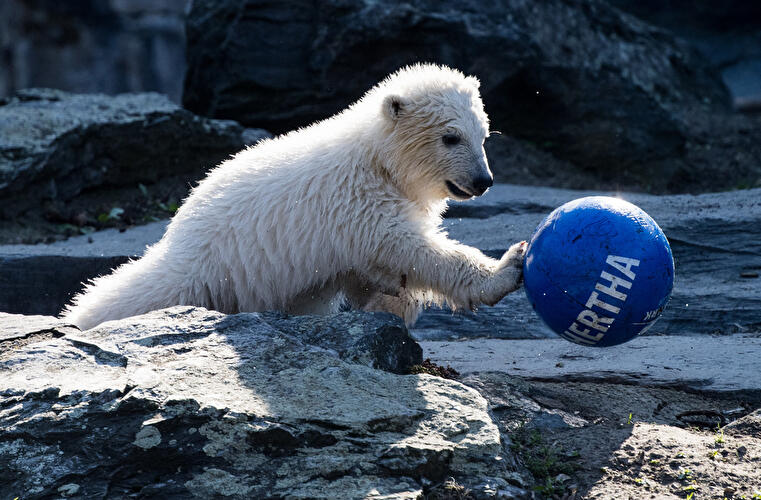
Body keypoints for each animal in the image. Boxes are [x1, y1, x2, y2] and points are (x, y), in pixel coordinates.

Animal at [62, 63, 527, 330]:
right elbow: (411, 248)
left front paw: (391, 304)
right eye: (450, 137)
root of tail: (181, 233)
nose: (483, 180)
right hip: (220, 270)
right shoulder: (356, 204)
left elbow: (375, 271)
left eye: (484, 136)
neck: (378, 159)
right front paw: (507, 267)